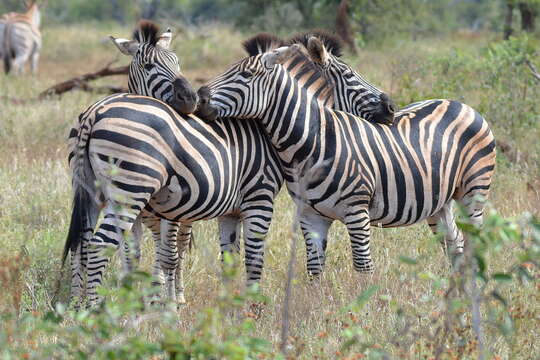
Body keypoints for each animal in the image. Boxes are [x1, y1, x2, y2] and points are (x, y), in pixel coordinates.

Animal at [200, 41, 496, 276]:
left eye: (246, 74)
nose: (200, 97)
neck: (312, 143)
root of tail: (460, 104)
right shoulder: (310, 215)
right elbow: (314, 268)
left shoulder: (357, 211)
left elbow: (363, 267)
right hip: (439, 202)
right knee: (455, 245)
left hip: (474, 191)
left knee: (475, 243)